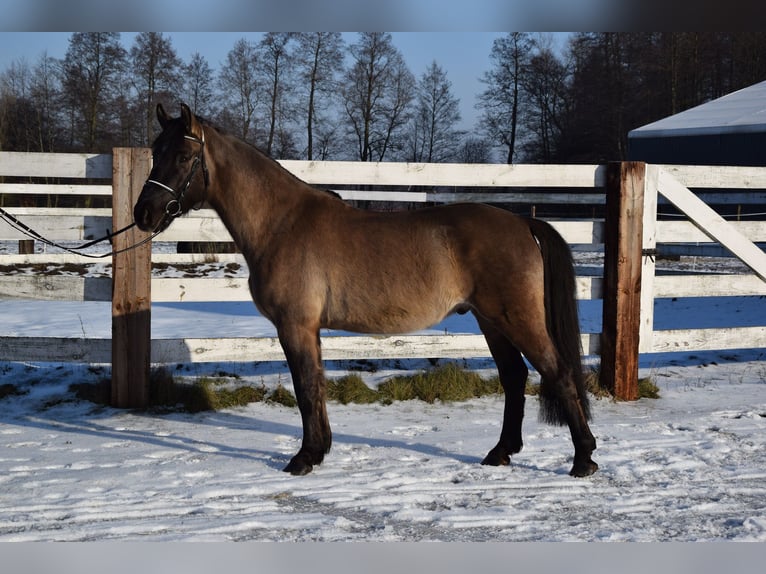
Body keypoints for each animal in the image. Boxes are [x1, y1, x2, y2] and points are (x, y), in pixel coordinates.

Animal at [134, 103, 598, 478]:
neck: (281, 223)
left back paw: (583, 459)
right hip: (491, 321)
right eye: (155, 152)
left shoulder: (295, 326)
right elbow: (315, 386)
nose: (143, 213)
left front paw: (304, 458)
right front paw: (319, 450)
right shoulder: (308, 329)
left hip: (516, 318)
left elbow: (306, 388)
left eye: (182, 155)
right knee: (515, 377)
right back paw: (501, 453)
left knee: (557, 373)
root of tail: (522, 222)